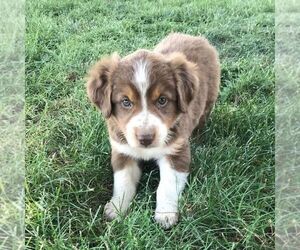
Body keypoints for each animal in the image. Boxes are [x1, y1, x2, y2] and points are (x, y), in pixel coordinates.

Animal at [85, 32, 219, 229]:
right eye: (126, 102)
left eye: (162, 100)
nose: (145, 138)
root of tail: (194, 37)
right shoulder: (123, 150)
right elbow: (123, 181)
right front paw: (116, 208)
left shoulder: (176, 152)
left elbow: (167, 185)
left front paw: (165, 214)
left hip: (210, 96)